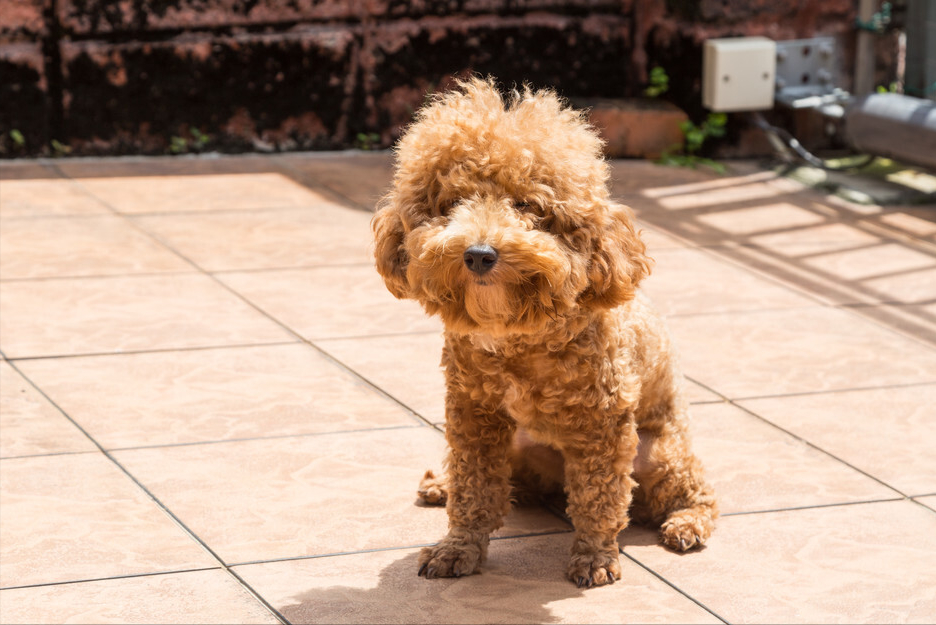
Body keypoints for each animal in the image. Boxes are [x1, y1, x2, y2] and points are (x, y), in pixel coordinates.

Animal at [372, 77, 716, 584]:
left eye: (528, 205)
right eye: (452, 203)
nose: (479, 254)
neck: (518, 337)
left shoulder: (603, 424)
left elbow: (599, 498)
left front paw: (594, 557)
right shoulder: (473, 413)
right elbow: (475, 489)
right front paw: (458, 548)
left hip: (659, 452)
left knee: (693, 493)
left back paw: (686, 524)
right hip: (518, 446)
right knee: (504, 484)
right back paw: (442, 485)